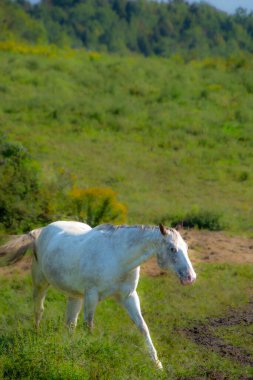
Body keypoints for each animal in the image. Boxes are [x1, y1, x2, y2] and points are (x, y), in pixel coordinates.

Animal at [0, 221, 196, 370]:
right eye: (172, 248)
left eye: (186, 247)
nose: (190, 277)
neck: (118, 257)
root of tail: (42, 231)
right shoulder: (92, 296)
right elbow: (89, 327)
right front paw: (90, 359)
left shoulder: (129, 297)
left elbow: (143, 328)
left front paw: (157, 364)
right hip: (40, 283)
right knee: (39, 310)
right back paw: (37, 334)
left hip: (75, 297)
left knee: (70, 324)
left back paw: (69, 348)